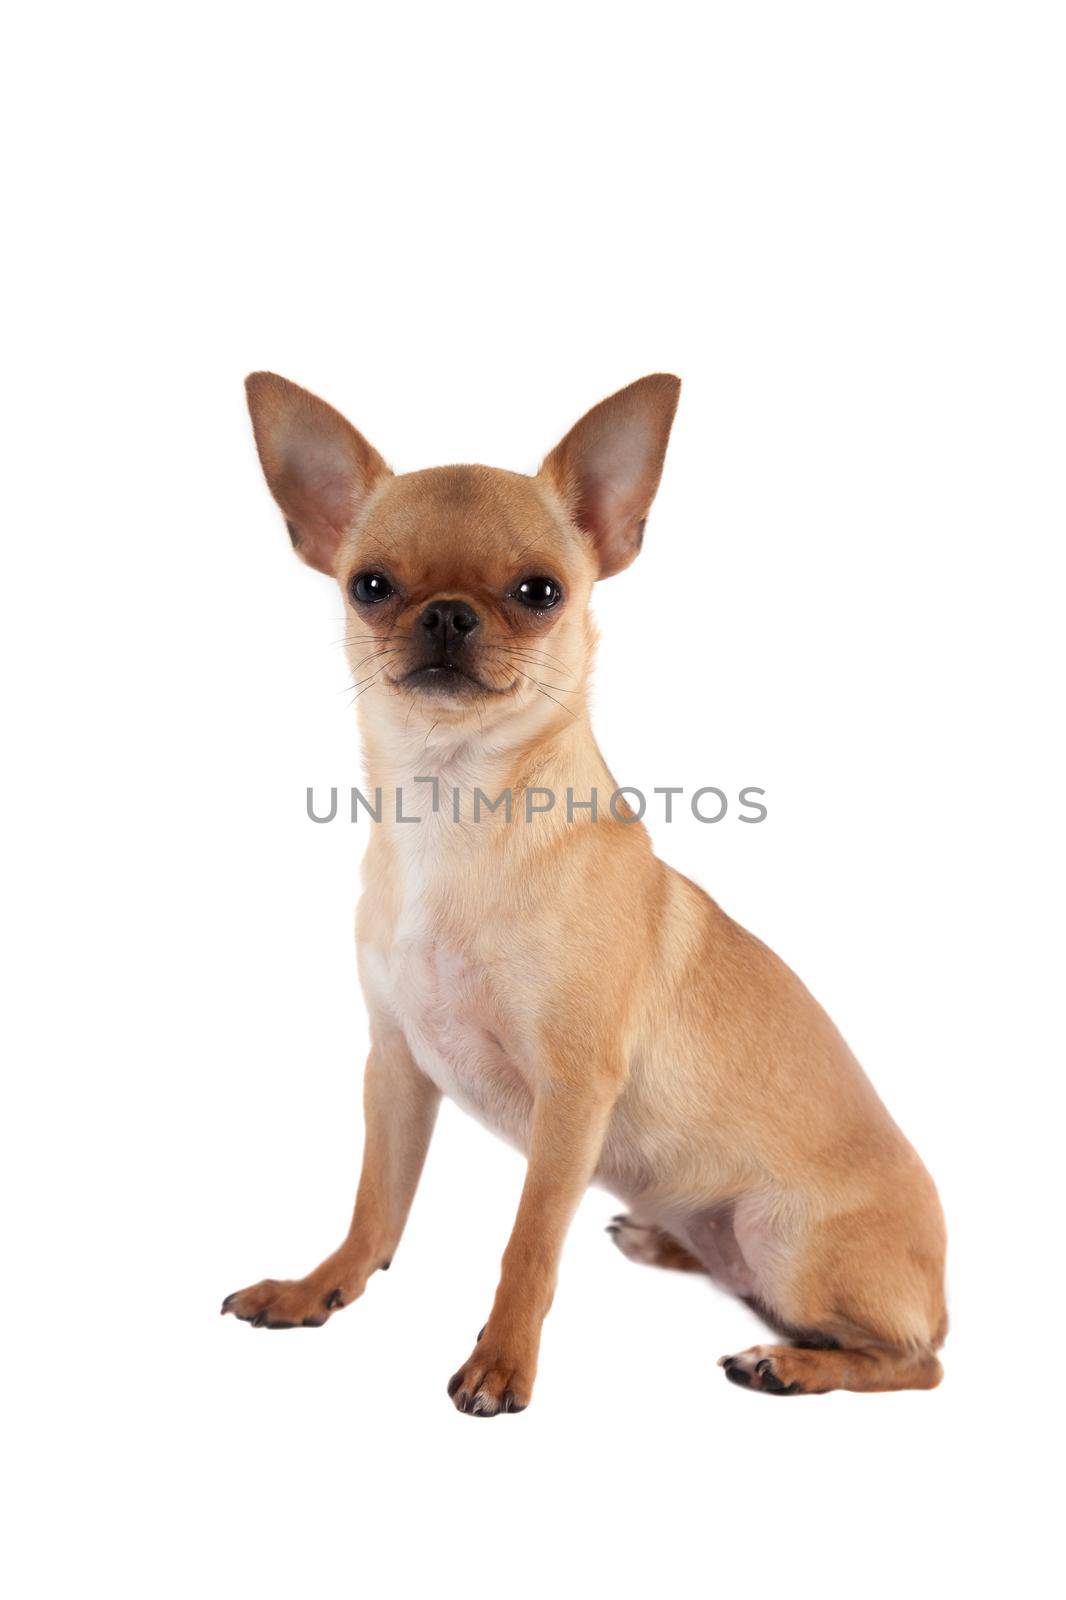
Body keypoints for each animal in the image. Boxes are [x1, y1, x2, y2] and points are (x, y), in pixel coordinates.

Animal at [219, 371, 941, 1414]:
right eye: (370, 586)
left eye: (539, 593)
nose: (447, 613)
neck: (455, 813)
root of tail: (944, 1282)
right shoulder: (395, 1065)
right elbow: (376, 1206)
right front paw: (319, 1288)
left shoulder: (571, 1097)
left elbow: (529, 1243)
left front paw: (501, 1363)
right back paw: (666, 1242)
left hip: (789, 1238)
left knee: (913, 1361)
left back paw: (792, 1363)